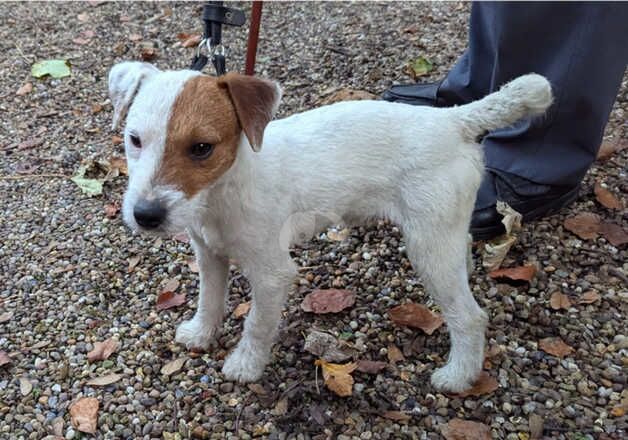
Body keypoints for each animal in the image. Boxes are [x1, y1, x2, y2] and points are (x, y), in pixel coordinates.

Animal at [110, 61, 552, 392]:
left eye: (201, 148)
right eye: (134, 139)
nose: (145, 215)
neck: (224, 189)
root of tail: (454, 120)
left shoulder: (272, 273)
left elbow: (257, 323)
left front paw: (246, 365)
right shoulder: (209, 255)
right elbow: (209, 299)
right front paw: (201, 333)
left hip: (427, 247)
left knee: (470, 317)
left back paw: (458, 376)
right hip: (442, 233)